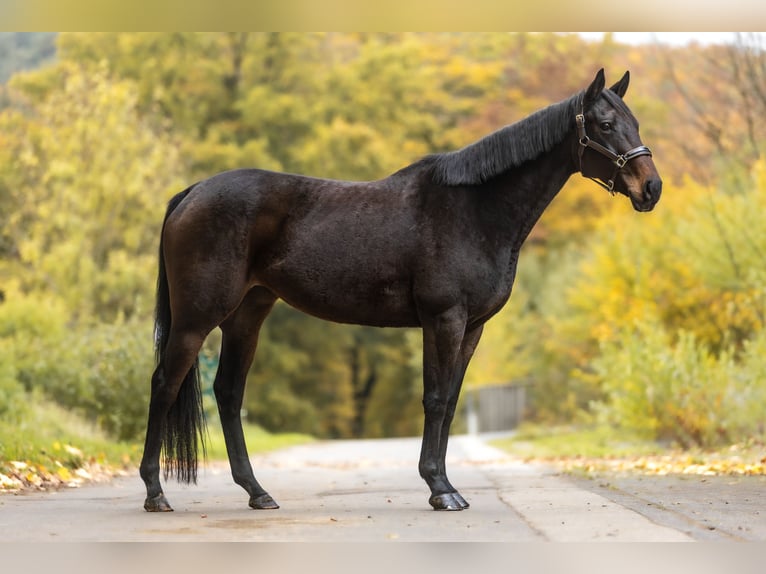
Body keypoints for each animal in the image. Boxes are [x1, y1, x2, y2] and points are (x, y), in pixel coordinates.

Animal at [140, 69, 662, 512]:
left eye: (635, 122)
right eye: (606, 124)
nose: (651, 188)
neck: (475, 209)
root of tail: (192, 192)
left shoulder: (472, 328)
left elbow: (450, 403)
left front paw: (446, 484)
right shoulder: (443, 319)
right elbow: (434, 399)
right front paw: (440, 489)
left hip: (247, 314)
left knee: (228, 393)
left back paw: (257, 492)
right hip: (196, 319)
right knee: (164, 384)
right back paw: (156, 493)